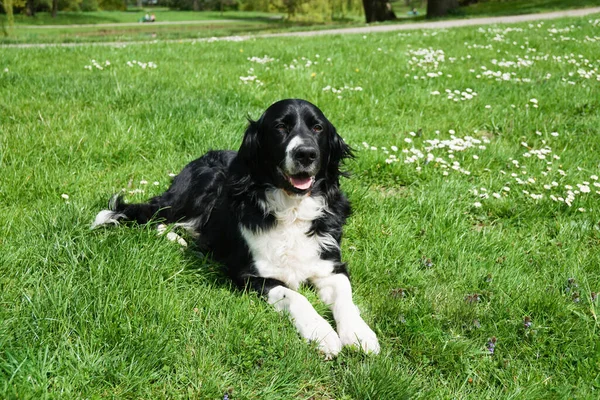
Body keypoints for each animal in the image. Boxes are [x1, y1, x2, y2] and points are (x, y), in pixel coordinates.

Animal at [94, 99, 380, 356]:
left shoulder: (330, 266)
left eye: (318, 128)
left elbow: (345, 297)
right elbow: (294, 296)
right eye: (280, 127)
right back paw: (178, 238)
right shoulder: (249, 275)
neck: (292, 209)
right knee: (156, 216)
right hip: (200, 186)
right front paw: (321, 333)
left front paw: (359, 333)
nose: (306, 153)